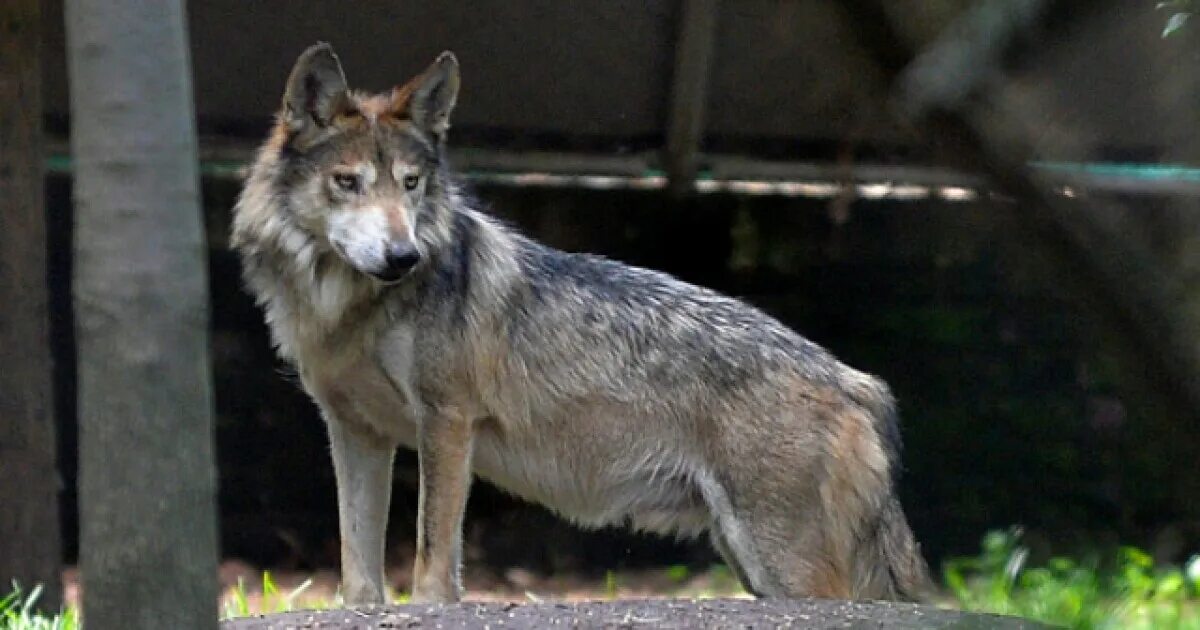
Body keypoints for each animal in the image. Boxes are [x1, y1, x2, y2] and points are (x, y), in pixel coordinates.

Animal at [229, 42, 931, 604]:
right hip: (749, 562)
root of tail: (859, 384)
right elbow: (358, 573)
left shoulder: (447, 423)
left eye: (411, 184)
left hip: (782, 567)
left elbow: (433, 562)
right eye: (348, 182)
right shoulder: (356, 433)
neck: (348, 308)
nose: (405, 257)